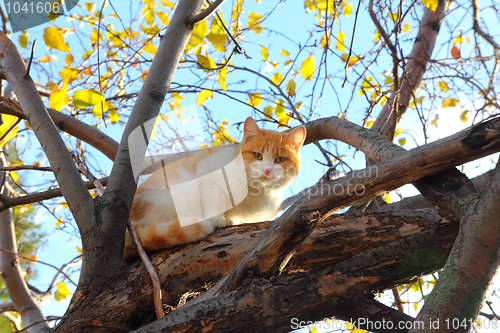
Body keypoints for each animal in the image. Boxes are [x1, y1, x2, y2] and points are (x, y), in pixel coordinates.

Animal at [123, 116, 306, 260]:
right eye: (257, 156)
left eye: (280, 159)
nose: (267, 170)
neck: (255, 192)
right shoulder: (209, 179)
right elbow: (213, 199)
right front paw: (216, 218)